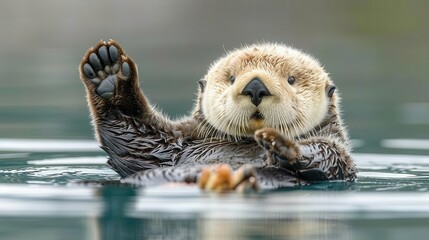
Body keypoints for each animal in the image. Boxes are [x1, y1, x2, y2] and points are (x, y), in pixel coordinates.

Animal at [78, 40, 356, 191]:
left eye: (291, 79)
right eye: (231, 78)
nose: (256, 86)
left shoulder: (337, 152)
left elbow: (324, 156)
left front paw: (281, 144)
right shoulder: (173, 146)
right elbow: (136, 138)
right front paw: (109, 74)